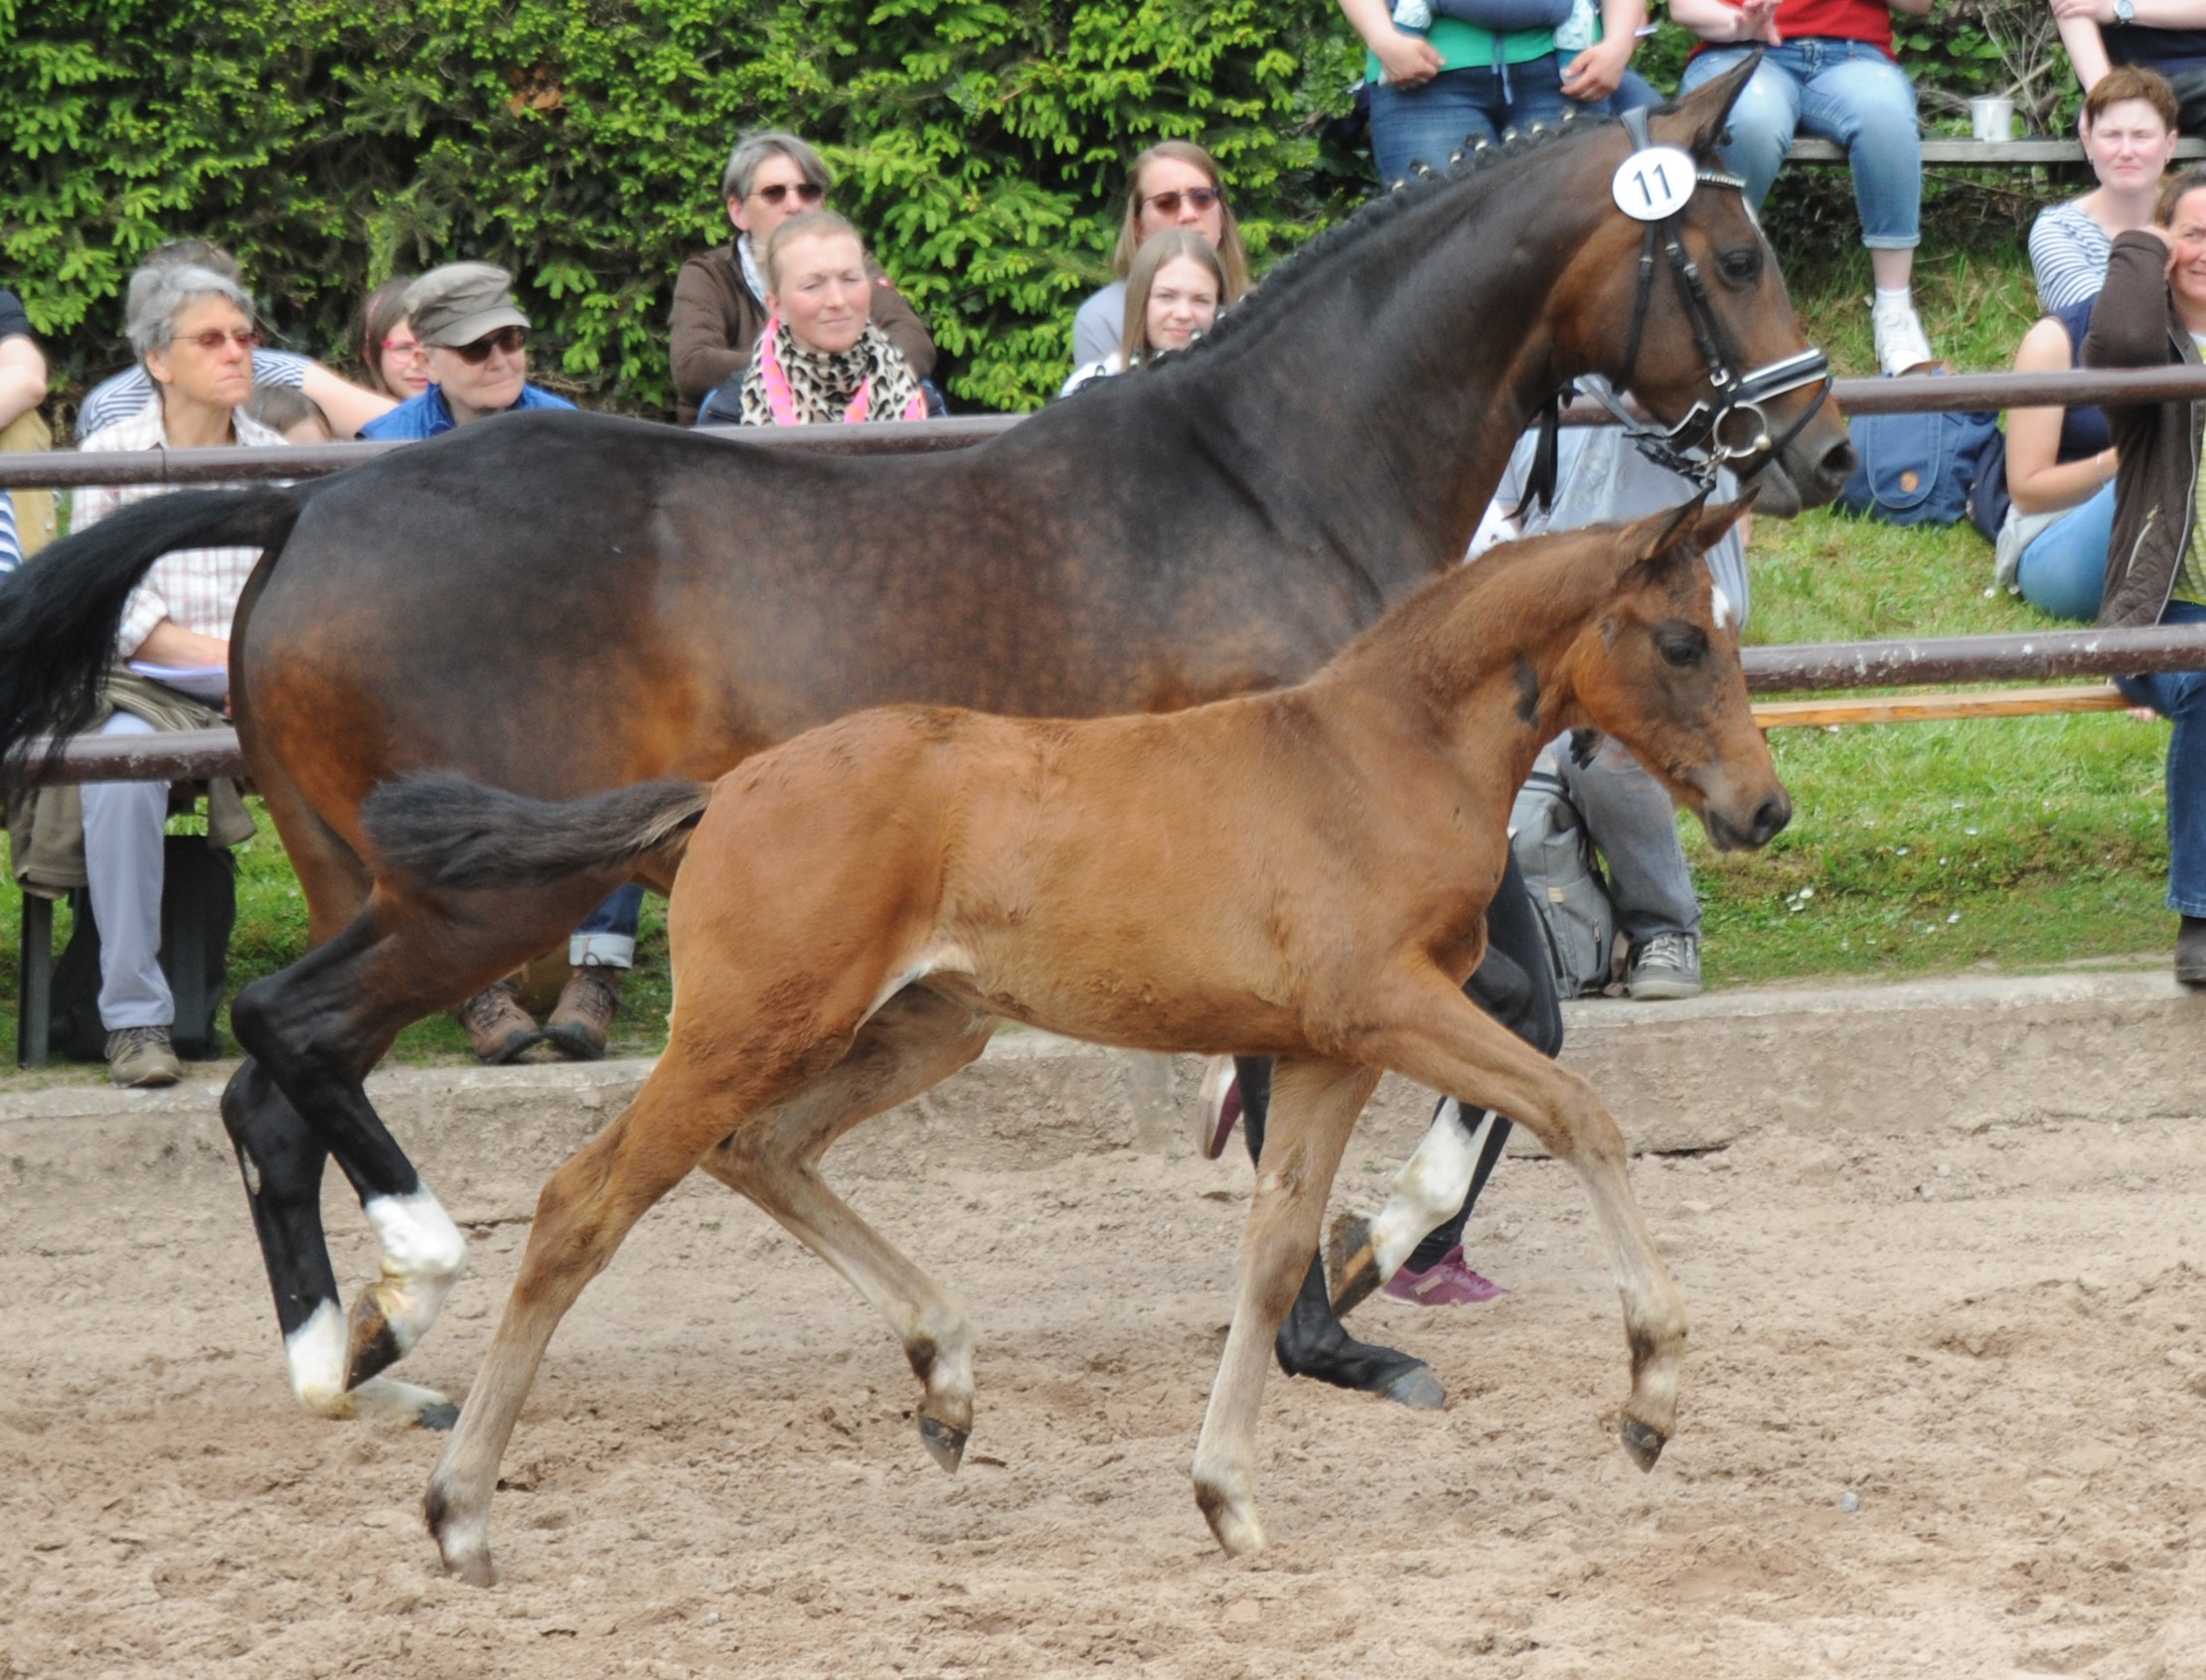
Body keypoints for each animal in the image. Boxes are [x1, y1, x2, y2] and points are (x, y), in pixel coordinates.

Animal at [370, 498, 1791, 1570]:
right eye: (1680, 641)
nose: (1764, 808)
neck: (1379, 756)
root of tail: (721, 793)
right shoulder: (1388, 1006)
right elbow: (1579, 1110)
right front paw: (1651, 1395)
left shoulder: (1327, 1046)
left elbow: (1276, 1252)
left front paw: (1227, 1494)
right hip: (753, 1028)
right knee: (583, 1201)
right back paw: (459, 1513)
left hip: (920, 1031)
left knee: (760, 1151)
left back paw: (946, 1380)